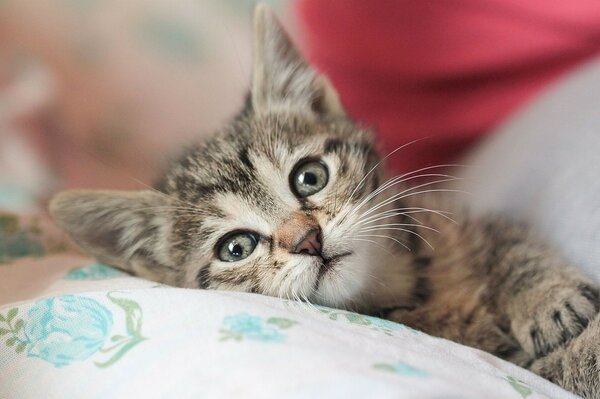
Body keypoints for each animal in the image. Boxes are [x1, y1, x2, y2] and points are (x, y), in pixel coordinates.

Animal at [50, 4, 600, 398]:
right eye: (236, 248)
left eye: (309, 177)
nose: (308, 240)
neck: (410, 282)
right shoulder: (497, 352)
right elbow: (554, 366)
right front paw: (582, 348)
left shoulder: (460, 222)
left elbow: (513, 246)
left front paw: (547, 298)